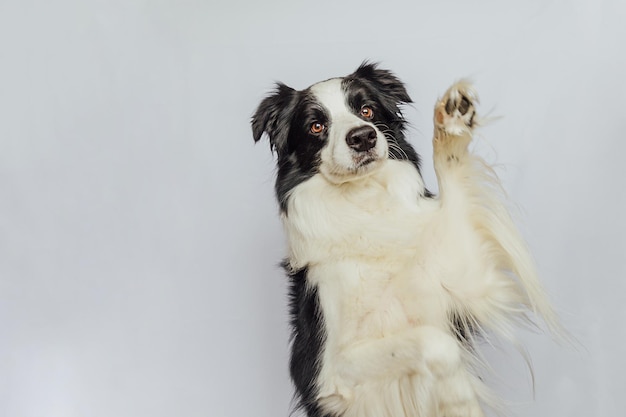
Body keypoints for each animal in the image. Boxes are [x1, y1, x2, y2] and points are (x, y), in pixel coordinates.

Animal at [251, 62, 564, 416]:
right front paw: (459, 395)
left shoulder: (461, 273)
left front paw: (453, 123)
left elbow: (453, 181)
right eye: (316, 126)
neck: (366, 204)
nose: (363, 136)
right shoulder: (329, 373)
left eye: (366, 110)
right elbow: (436, 343)